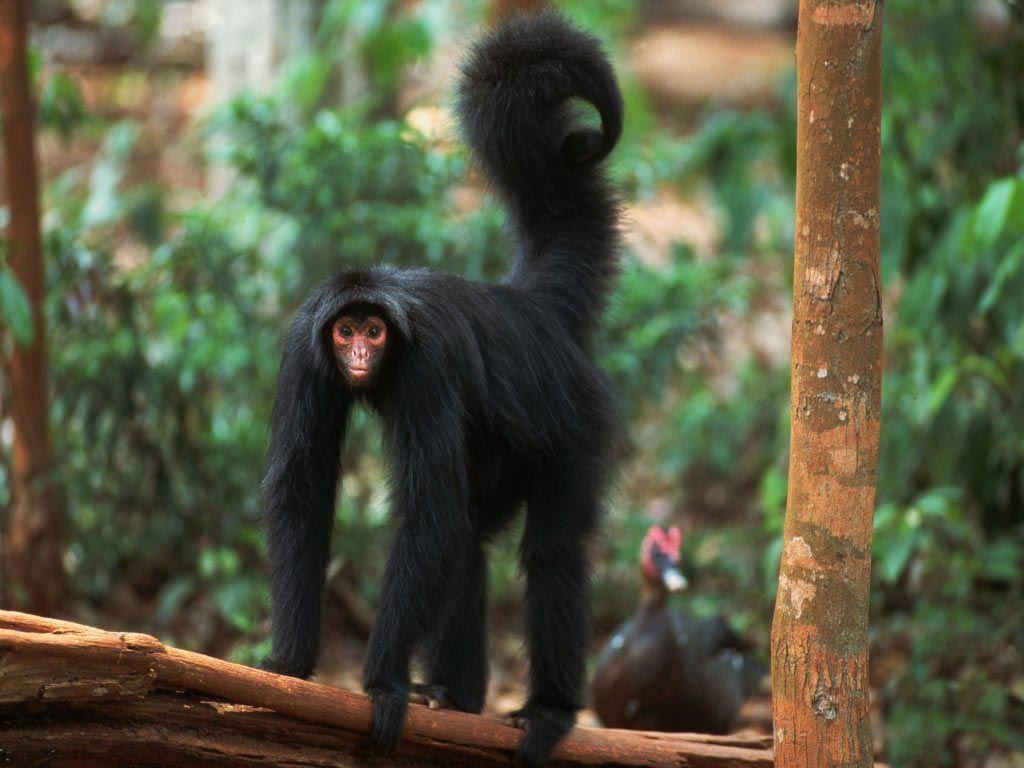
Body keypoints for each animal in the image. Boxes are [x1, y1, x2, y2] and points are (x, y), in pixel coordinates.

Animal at [258, 12, 623, 766]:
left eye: (373, 330)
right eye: (346, 331)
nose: (359, 351)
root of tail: (529, 309)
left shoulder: (425, 363)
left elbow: (428, 514)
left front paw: (379, 681)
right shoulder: (304, 348)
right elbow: (306, 493)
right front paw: (290, 662)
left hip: (577, 422)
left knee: (549, 550)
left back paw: (549, 710)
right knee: (470, 539)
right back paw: (455, 698)